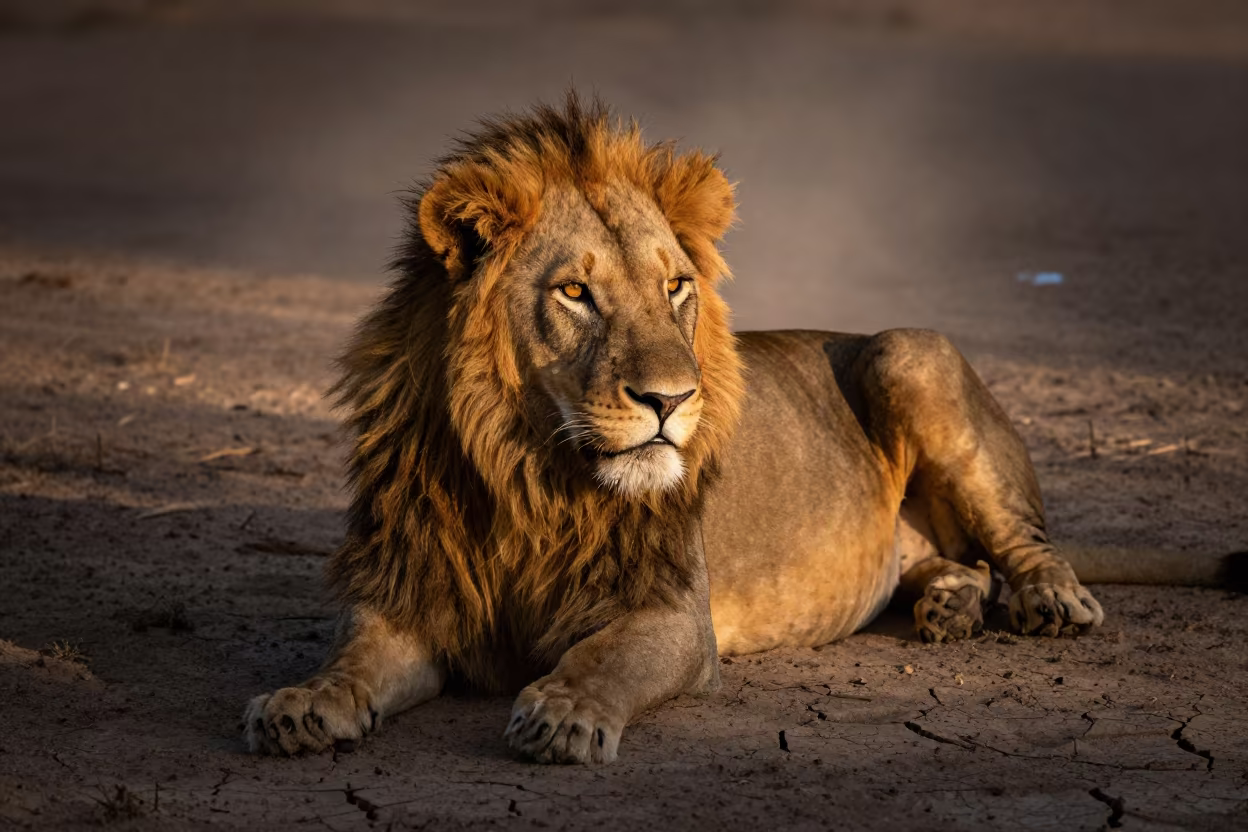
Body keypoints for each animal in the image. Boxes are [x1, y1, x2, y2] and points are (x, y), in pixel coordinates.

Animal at [243, 95, 1243, 764]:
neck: (529, 475)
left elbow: (607, 658)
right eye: (576, 291)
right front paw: (300, 703)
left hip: (907, 353)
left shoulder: (675, 618)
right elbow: (353, 654)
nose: (670, 400)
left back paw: (1047, 600)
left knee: (1026, 544)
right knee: (958, 561)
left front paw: (564, 712)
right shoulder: (416, 595)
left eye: (675, 287)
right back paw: (950, 604)